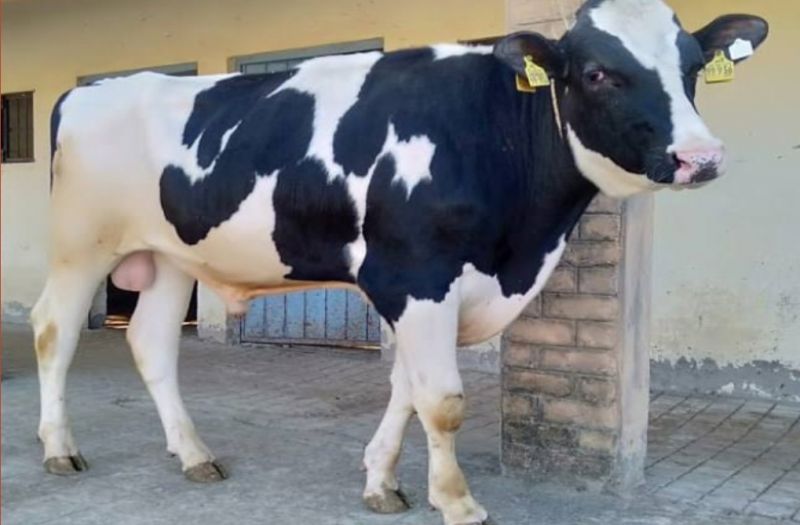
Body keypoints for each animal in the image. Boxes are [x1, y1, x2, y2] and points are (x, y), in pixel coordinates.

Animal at [30, 0, 768, 523]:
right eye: (596, 73)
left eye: (693, 68)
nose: (701, 157)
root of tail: (90, 89)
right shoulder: (412, 275)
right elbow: (440, 399)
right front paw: (458, 501)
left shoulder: (426, 288)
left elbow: (406, 389)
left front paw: (382, 481)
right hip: (80, 245)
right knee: (52, 330)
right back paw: (60, 447)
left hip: (171, 254)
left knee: (152, 341)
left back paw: (193, 454)